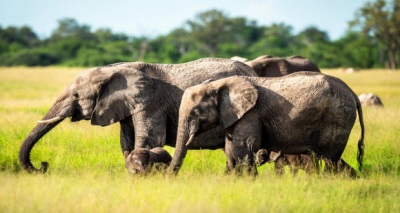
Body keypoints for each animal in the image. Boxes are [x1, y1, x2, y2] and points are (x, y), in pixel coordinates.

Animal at [18, 57, 256, 173]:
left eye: (76, 95)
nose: (43, 166)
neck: (111, 71)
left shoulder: (150, 102)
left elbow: (149, 139)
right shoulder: (125, 106)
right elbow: (126, 142)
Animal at [167, 72, 364, 176]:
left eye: (196, 112)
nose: (167, 178)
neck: (220, 84)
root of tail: (353, 94)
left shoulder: (250, 114)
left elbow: (241, 148)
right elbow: (231, 149)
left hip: (337, 118)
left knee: (330, 158)